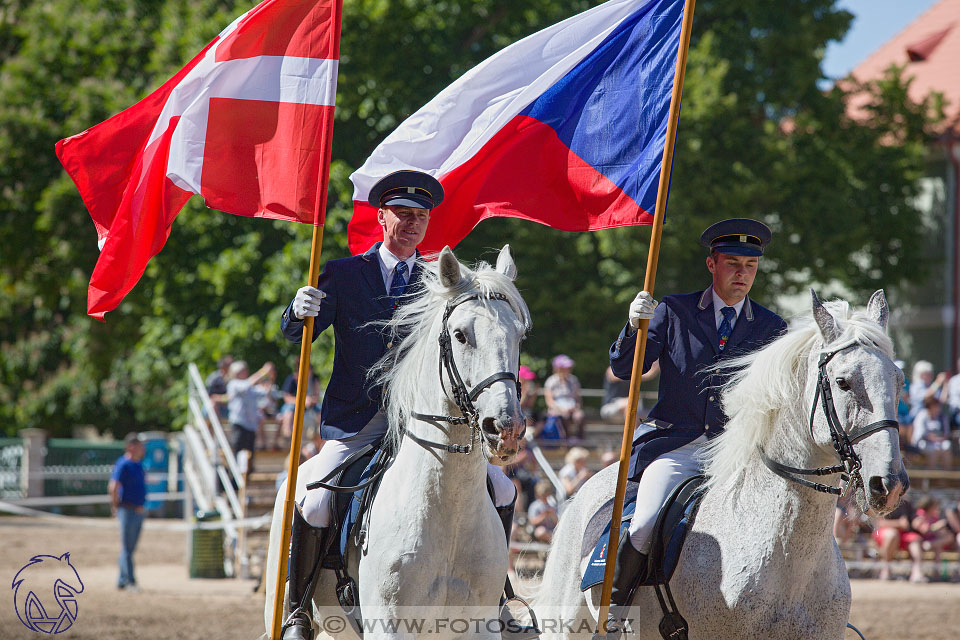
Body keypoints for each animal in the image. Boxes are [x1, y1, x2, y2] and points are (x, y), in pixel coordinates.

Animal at [264, 246, 532, 640]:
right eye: (460, 335)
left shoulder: (480, 624)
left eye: (519, 336)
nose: (505, 429)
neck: (449, 509)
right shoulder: (389, 626)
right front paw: (305, 305)